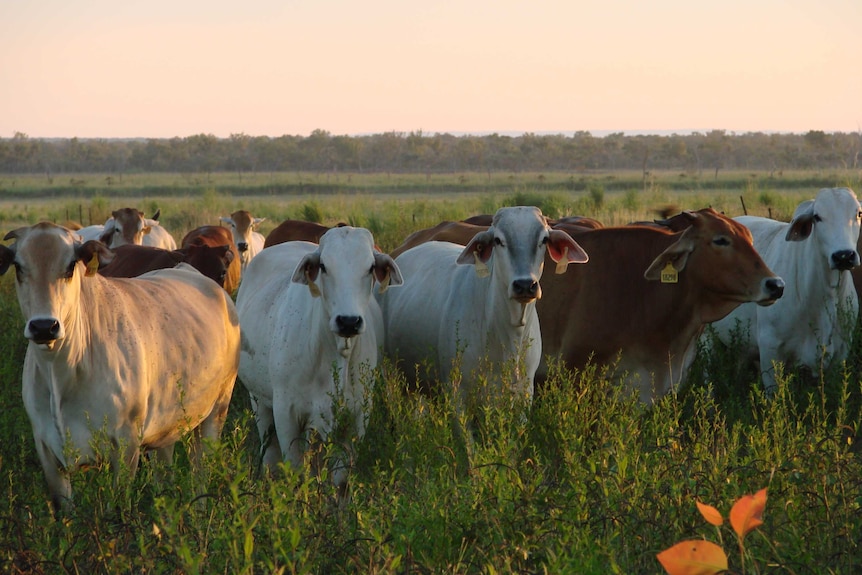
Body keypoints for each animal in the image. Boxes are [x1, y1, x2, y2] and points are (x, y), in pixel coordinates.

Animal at [1, 223, 243, 510]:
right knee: (165, 470)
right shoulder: (47, 451)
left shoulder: (126, 446)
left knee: (200, 470)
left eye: (71, 265)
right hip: (167, 422)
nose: (43, 326)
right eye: (18, 266)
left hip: (218, 408)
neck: (61, 372)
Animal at [233, 225, 402, 486]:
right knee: (269, 454)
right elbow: (295, 473)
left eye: (370, 267)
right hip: (260, 402)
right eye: (323, 266)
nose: (348, 321)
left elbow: (340, 481)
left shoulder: (356, 418)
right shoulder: (287, 415)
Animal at [382, 205, 592, 408]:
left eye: (544, 239)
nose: (525, 285)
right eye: (498, 240)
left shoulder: (525, 393)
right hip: (394, 375)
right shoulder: (458, 394)